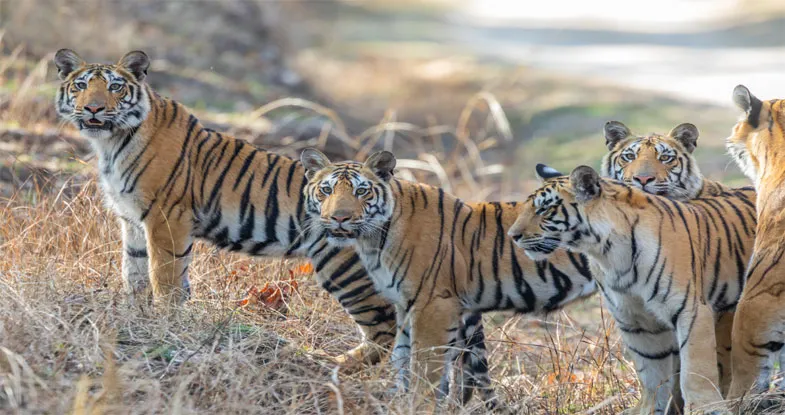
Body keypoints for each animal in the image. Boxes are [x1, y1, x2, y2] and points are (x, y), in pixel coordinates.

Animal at [52, 48, 406, 371]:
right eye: (81, 85)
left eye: (115, 87)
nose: (93, 108)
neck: (110, 143)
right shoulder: (132, 220)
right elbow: (134, 274)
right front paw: (136, 318)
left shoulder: (165, 217)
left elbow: (162, 276)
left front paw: (164, 324)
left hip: (345, 268)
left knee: (384, 326)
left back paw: (333, 364)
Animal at [299, 148, 597, 407]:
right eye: (326, 190)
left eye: (361, 191)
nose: (339, 218)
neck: (372, 241)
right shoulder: (405, 304)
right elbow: (403, 360)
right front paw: (403, 403)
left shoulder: (433, 305)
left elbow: (425, 368)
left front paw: (419, 405)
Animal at [507, 164, 757, 414]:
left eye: (544, 209)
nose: (513, 236)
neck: (607, 254)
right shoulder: (636, 320)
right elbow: (651, 371)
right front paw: (649, 409)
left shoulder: (691, 309)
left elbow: (695, 367)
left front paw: (705, 408)